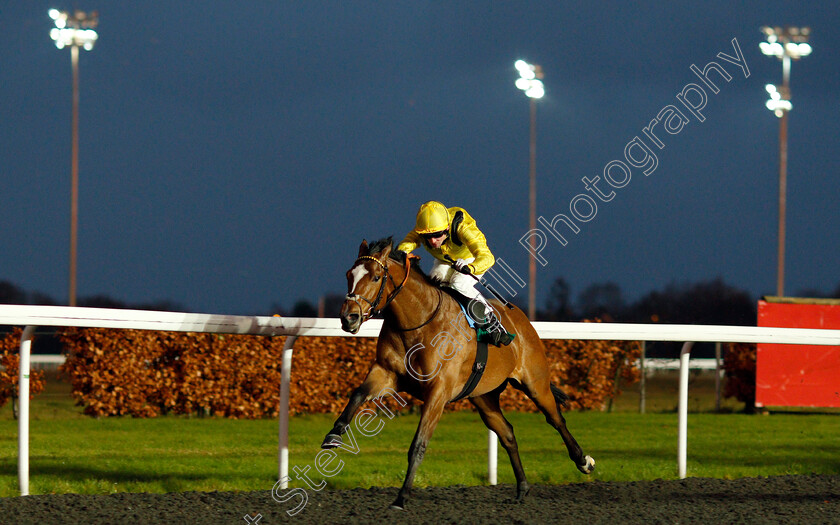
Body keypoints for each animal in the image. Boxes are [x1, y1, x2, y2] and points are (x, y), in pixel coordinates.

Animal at [318, 238, 592, 508]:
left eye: (376, 277)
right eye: (349, 275)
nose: (349, 318)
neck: (418, 322)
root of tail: (521, 318)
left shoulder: (438, 392)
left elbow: (419, 444)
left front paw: (402, 497)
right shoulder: (386, 373)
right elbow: (358, 394)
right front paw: (333, 435)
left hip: (535, 383)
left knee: (556, 419)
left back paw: (583, 461)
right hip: (484, 397)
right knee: (507, 433)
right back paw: (522, 488)